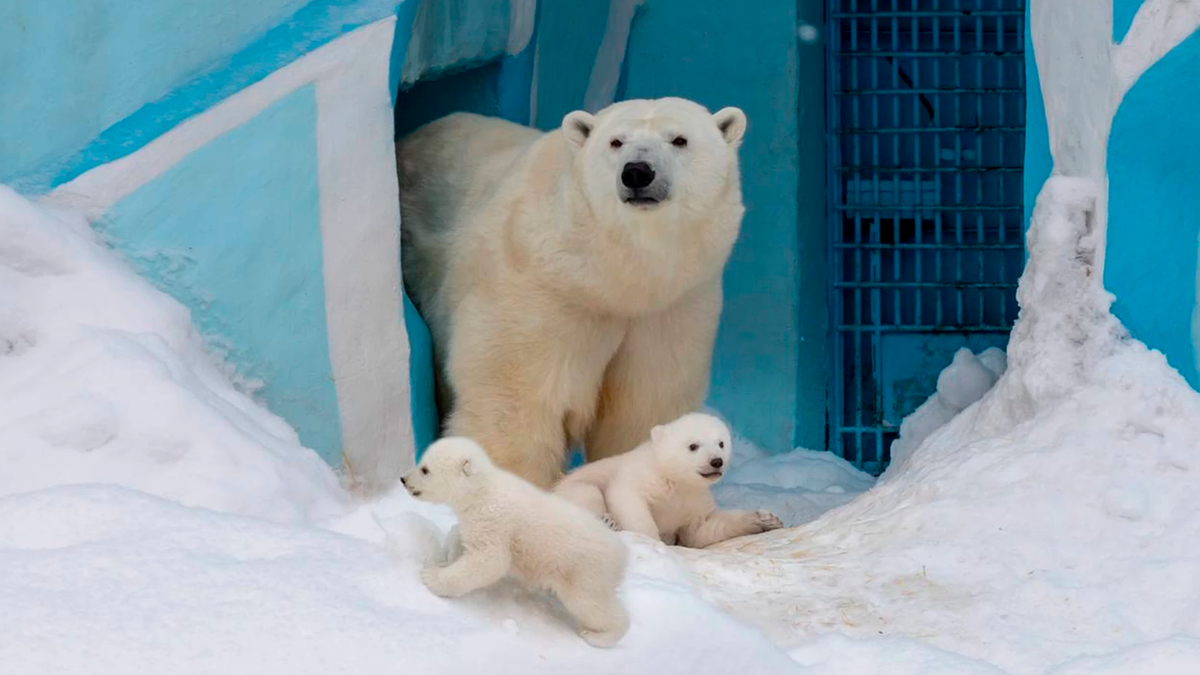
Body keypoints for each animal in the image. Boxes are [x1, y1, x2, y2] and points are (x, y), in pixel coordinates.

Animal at [398, 97, 744, 485]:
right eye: (616, 141)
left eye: (679, 140)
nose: (637, 172)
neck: (610, 282)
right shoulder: (540, 291)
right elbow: (515, 399)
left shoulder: (672, 308)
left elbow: (642, 407)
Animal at [400, 432, 628, 643]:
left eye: (425, 469)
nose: (403, 479)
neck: (482, 491)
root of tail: (620, 555)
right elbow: (464, 536)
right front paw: (450, 553)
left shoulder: (495, 521)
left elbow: (491, 561)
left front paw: (432, 576)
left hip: (583, 573)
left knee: (591, 604)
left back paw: (597, 635)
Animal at [549, 410, 782, 547]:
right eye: (693, 446)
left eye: (721, 443)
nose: (717, 461)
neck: (674, 478)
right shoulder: (642, 476)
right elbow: (628, 500)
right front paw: (655, 542)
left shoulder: (693, 501)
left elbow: (703, 530)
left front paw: (765, 519)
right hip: (574, 487)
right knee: (586, 493)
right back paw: (608, 521)